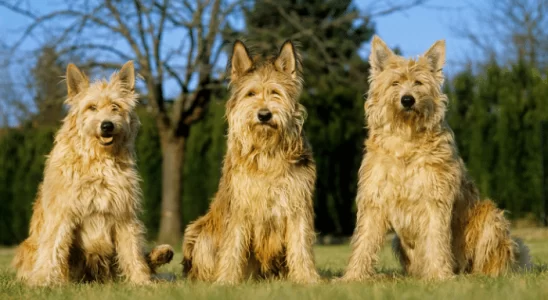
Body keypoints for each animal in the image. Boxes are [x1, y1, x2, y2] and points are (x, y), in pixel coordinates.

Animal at [12, 61, 173, 286]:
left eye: (115, 106)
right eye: (92, 107)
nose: (107, 125)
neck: (99, 160)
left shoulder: (124, 214)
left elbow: (132, 251)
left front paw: (141, 280)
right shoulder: (62, 213)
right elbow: (53, 247)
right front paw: (43, 280)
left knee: (142, 257)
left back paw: (161, 255)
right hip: (29, 248)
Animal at [182, 39, 318, 284]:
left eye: (275, 93)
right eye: (251, 94)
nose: (264, 115)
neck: (266, 153)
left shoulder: (297, 203)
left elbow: (301, 244)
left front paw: (307, 278)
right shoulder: (239, 205)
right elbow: (233, 246)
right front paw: (226, 280)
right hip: (200, 233)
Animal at [342, 35, 532, 282]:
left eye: (418, 83)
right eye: (395, 83)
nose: (407, 100)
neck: (407, 139)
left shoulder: (434, 199)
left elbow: (436, 238)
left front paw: (439, 276)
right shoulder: (374, 199)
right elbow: (365, 240)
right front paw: (353, 276)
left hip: (491, 217)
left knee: (493, 262)